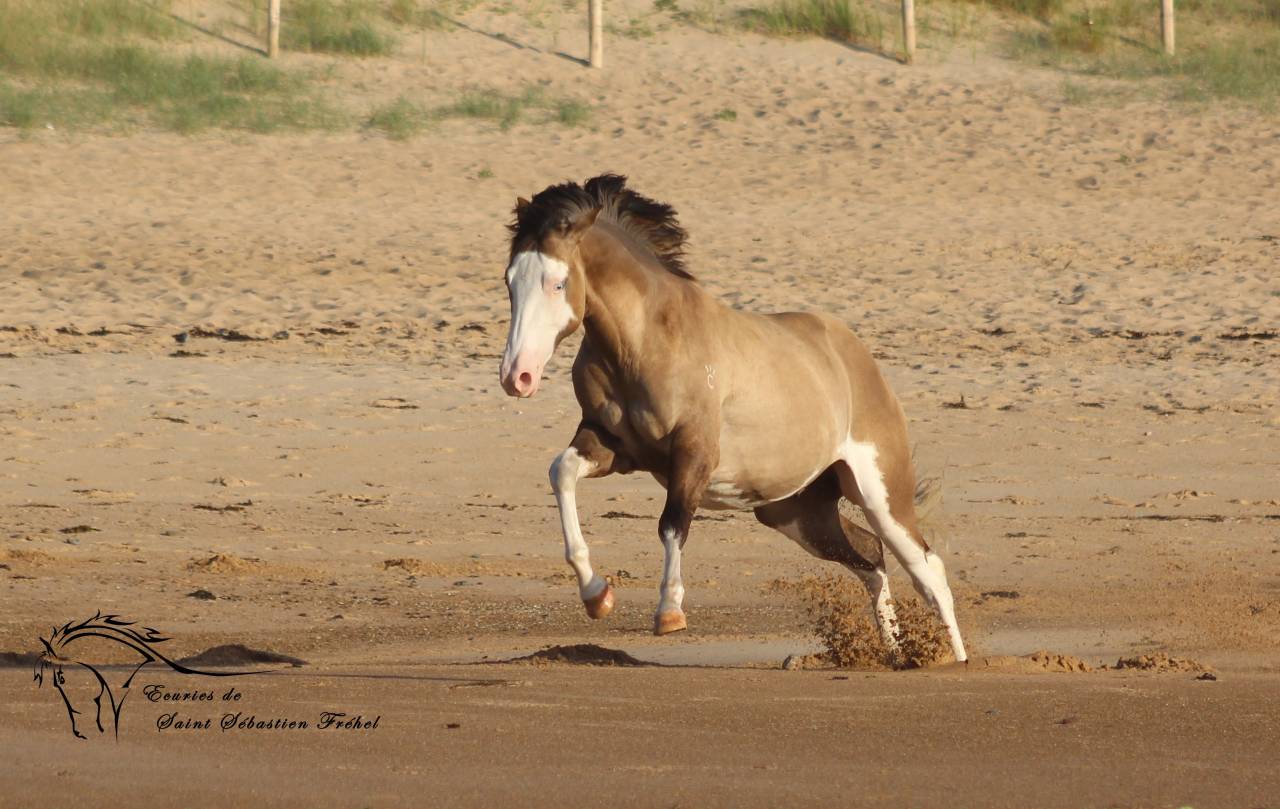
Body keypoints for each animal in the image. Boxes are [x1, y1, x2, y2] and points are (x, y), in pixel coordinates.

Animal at [497, 174, 967, 662]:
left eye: (557, 283)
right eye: (510, 281)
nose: (517, 376)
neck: (644, 342)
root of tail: (858, 357)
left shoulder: (694, 451)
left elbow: (672, 524)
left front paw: (669, 613)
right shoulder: (611, 444)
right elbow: (561, 473)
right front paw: (597, 595)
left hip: (880, 495)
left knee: (926, 569)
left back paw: (953, 658)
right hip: (797, 514)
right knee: (871, 557)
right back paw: (895, 655)